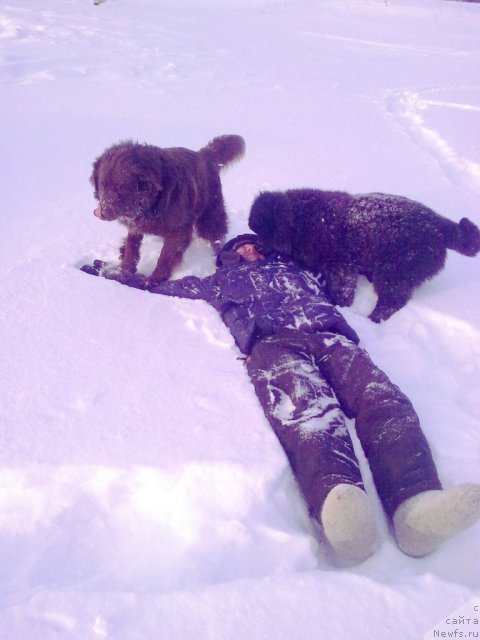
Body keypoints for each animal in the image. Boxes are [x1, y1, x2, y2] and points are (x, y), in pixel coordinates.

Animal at [249, 189, 478, 320]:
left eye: (262, 234)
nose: (257, 246)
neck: (299, 221)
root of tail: (440, 225)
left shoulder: (341, 265)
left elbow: (343, 289)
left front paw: (339, 305)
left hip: (395, 273)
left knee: (391, 302)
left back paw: (373, 319)